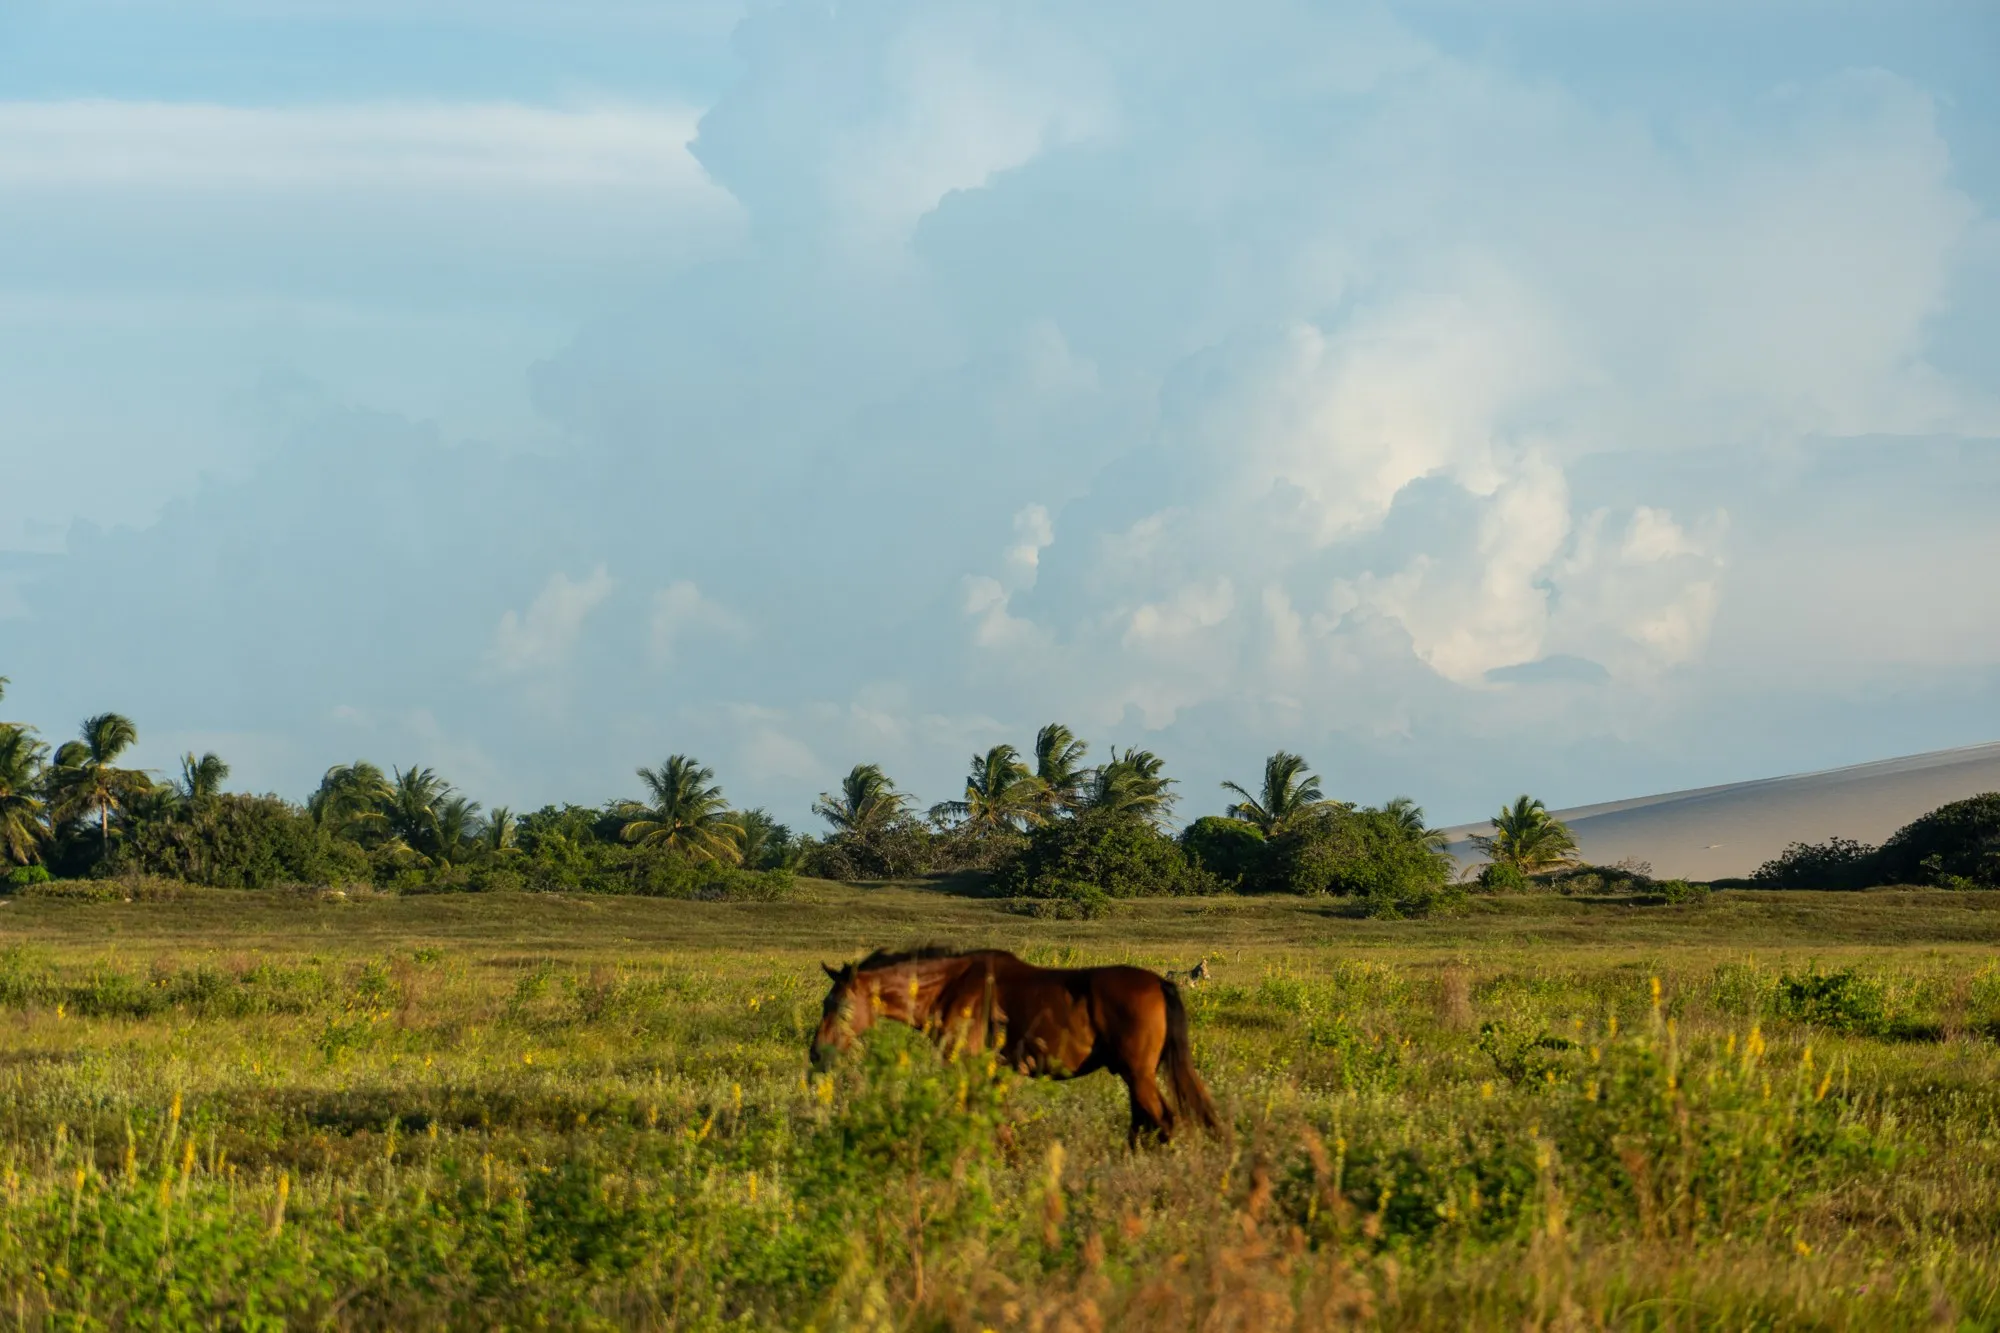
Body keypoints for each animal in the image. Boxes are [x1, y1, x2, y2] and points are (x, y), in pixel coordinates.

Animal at [810, 946, 1223, 1146]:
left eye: (840, 1006)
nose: (817, 1053)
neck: (949, 987)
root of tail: (1159, 984)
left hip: (1138, 1075)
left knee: (1163, 1121)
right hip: (1135, 1075)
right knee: (1145, 1124)